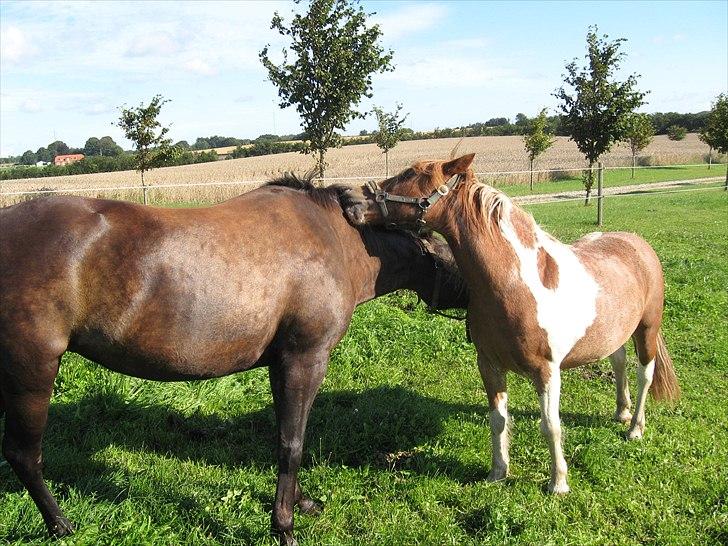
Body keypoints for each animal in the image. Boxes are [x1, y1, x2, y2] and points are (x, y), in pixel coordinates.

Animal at [0, 175, 466, 544]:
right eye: (451, 259)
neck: (336, 240)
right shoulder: (305, 360)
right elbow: (293, 443)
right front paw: (284, 527)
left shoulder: (281, 364)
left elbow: (283, 435)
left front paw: (300, 503)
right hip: (32, 370)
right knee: (23, 455)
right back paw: (60, 525)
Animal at [344, 154, 680, 492]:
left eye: (411, 174)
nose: (350, 199)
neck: (514, 285)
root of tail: (637, 244)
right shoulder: (489, 365)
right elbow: (498, 420)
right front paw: (497, 472)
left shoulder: (547, 371)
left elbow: (550, 426)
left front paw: (558, 483)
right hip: (612, 334)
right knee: (619, 362)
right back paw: (621, 413)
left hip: (646, 330)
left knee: (644, 375)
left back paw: (635, 428)